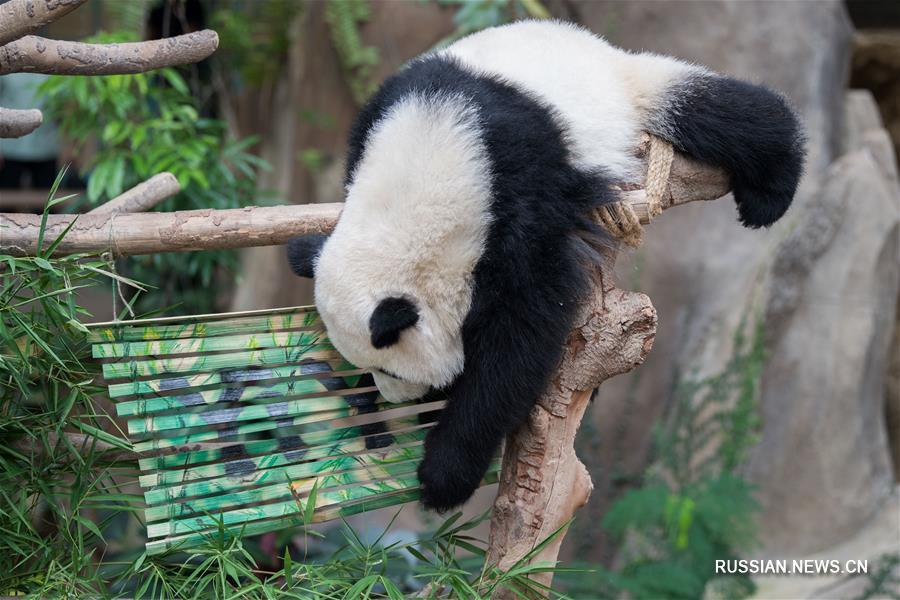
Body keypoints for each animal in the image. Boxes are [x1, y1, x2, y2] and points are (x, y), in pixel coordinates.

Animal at [284, 19, 804, 510]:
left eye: (390, 369)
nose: (397, 397)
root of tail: (591, 43)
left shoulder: (521, 193)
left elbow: (523, 330)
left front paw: (444, 474)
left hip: (619, 97)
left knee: (725, 112)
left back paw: (768, 195)